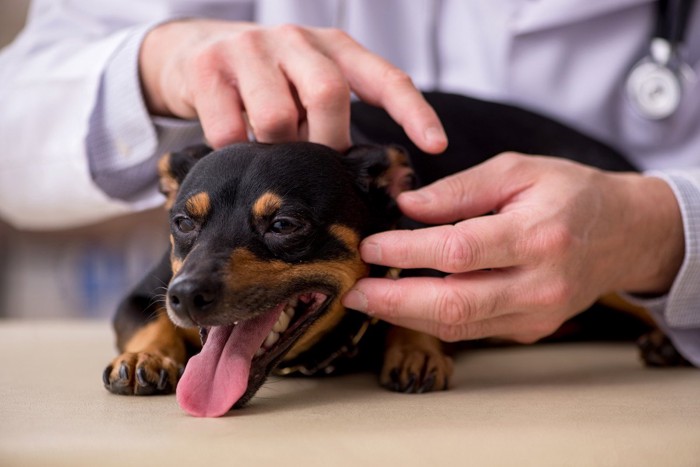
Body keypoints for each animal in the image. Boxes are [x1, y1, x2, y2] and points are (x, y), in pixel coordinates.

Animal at [104, 142, 454, 416]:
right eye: (184, 222)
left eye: (283, 225)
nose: (187, 296)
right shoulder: (143, 294)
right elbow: (149, 319)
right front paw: (145, 356)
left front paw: (416, 351)